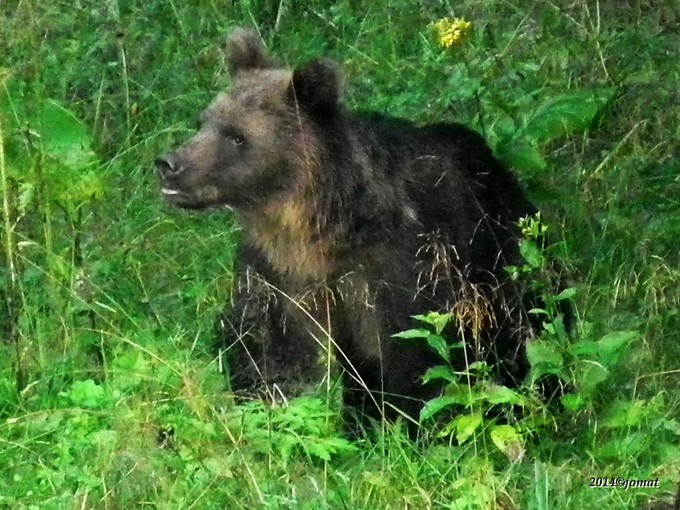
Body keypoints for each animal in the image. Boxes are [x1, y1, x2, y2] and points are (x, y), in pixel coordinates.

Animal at [157, 27, 544, 432]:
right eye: (203, 121)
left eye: (236, 136)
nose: (169, 164)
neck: (319, 227)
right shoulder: (278, 272)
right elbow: (268, 350)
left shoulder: (399, 268)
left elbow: (417, 356)